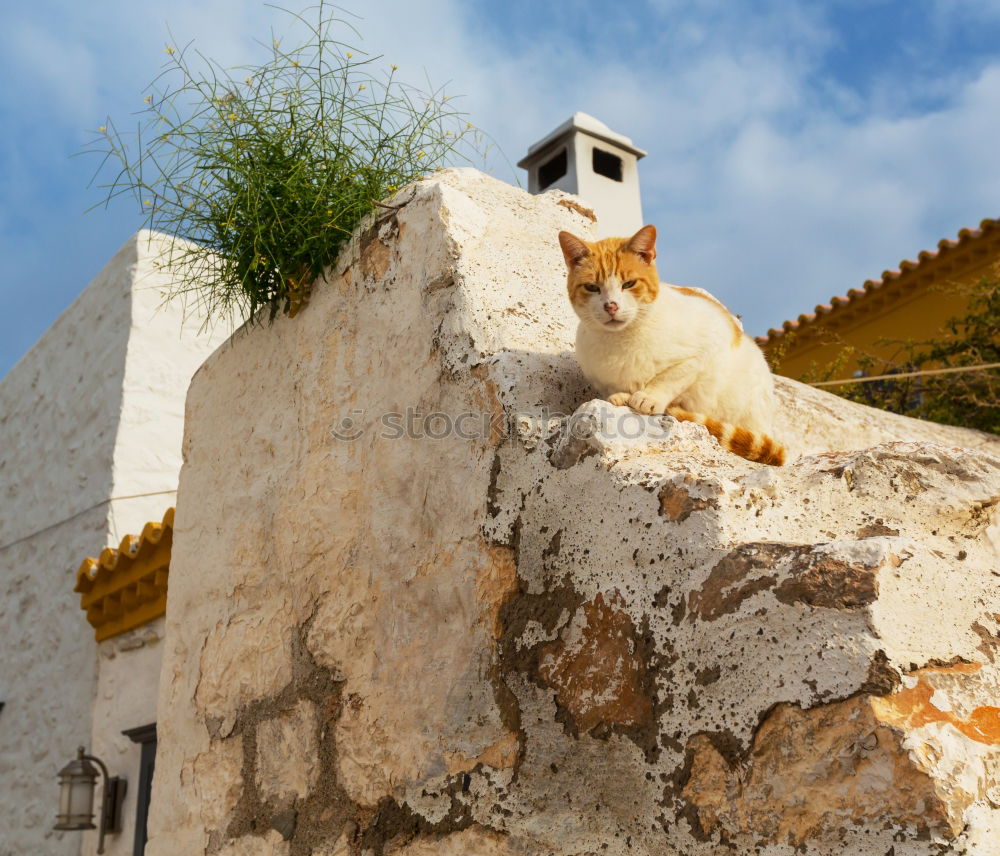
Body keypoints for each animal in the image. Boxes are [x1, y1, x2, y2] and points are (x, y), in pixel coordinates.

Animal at [560, 224, 784, 464]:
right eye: (592, 287)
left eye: (629, 284)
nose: (611, 306)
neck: (619, 341)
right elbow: (614, 388)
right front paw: (620, 395)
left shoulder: (705, 346)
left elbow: (671, 378)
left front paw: (649, 397)